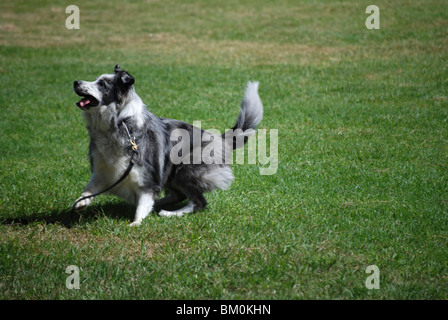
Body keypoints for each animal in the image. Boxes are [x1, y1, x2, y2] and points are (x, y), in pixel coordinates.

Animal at [72, 64, 262, 225]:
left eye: (102, 84)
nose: (76, 82)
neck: (121, 123)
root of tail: (219, 138)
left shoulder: (148, 174)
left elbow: (143, 201)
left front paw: (136, 223)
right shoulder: (104, 169)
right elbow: (90, 186)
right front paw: (81, 202)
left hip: (184, 170)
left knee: (199, 202)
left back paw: (170, 213)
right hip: (170, 173)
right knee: (179, 195)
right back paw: (159, 206)